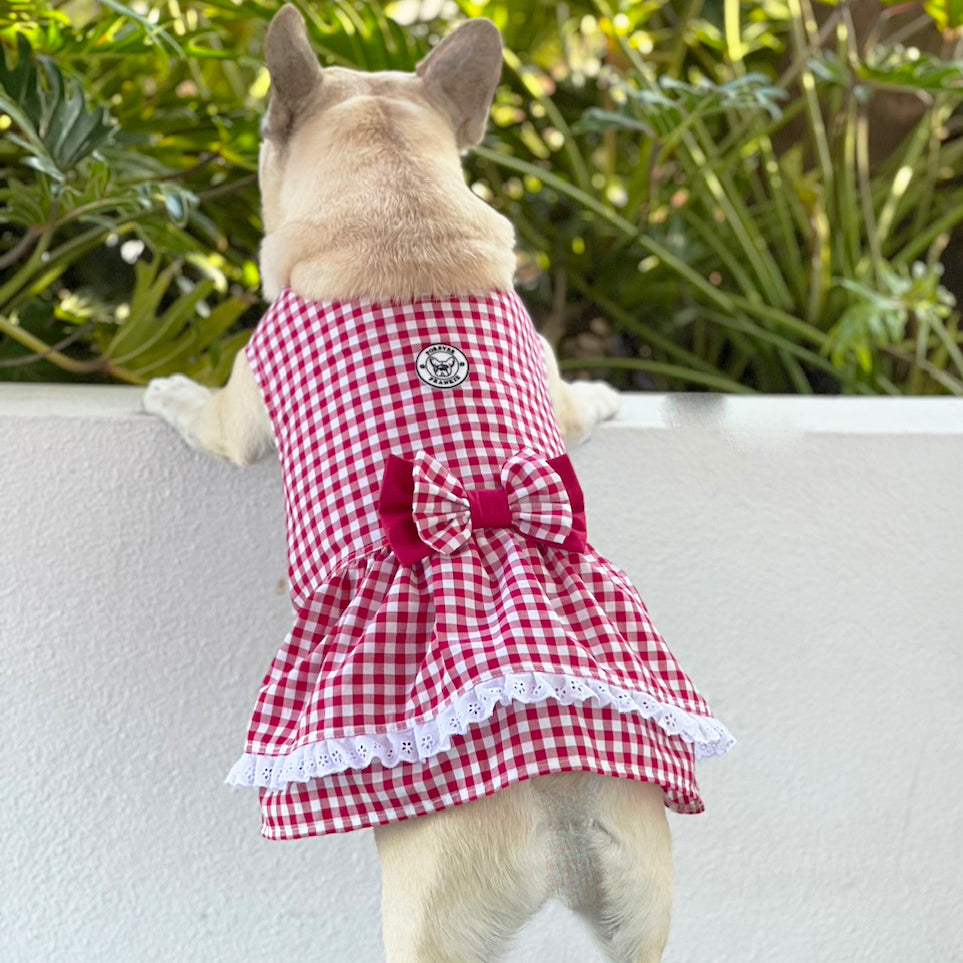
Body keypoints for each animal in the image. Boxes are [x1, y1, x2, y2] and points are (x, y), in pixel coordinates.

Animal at [145, 5, 732, 956]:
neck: (400, 206)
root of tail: (565, 785)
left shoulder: (240, 410)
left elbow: (204, 417)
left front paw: (164, 389)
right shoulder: (547, 371)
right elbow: (575, 400)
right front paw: (607, 395)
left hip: (427, 914)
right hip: (645, 908)